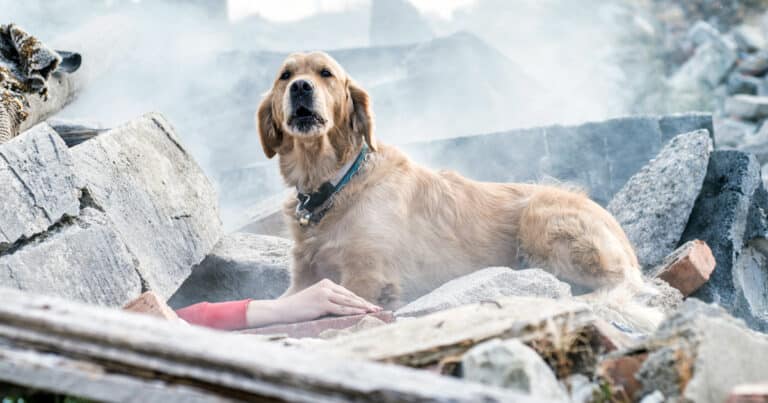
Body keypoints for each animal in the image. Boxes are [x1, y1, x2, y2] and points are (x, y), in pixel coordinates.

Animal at [256, 49, 648, 316]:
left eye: (326, 73)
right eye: (285, 75)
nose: (301, 87)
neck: (333, 184)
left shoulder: (366, 278)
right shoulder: (303, 280)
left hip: (542, 218)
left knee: (622, 284)